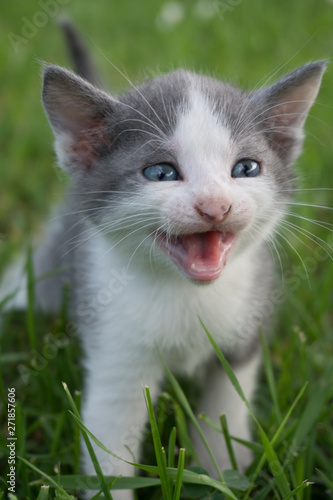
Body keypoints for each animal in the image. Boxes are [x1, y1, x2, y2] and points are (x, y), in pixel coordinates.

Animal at [7, 26, 324, 496]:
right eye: (160, 173)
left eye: (246, 168)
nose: (215, 206)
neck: (185, 294)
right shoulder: (115, 348)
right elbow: (109, 444)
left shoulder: (246, 331)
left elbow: (225, 413)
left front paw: (220, 473)